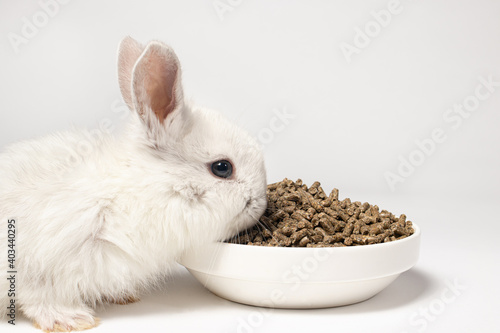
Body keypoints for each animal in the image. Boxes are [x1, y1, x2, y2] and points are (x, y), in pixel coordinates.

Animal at [0, 36, 268, 330]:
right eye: (222, 168)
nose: (262, 203)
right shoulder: (38, 258)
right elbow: (37, 295)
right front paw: (71, 320)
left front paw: (124, 297)